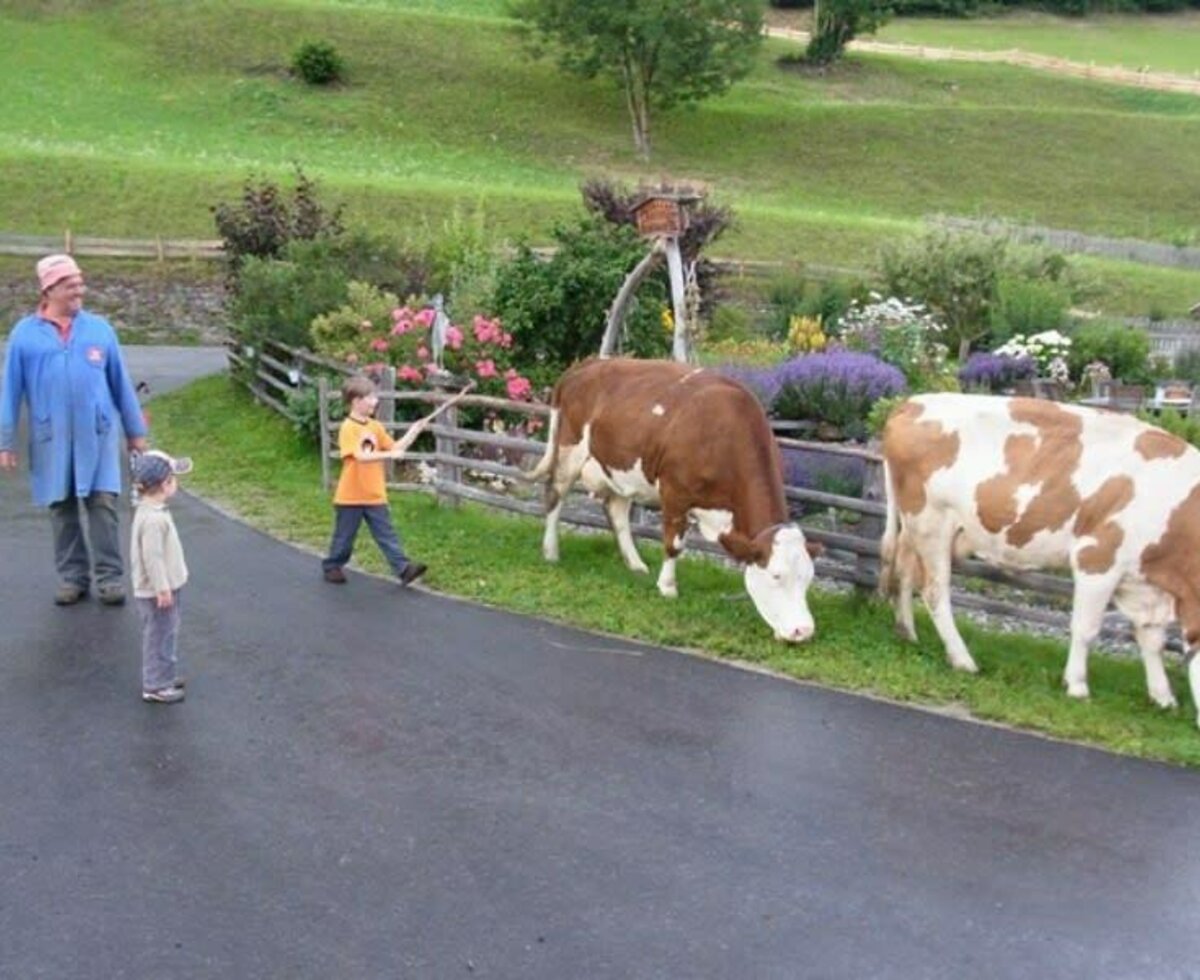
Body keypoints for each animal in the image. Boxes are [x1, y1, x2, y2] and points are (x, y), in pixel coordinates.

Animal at [528, 359, 820, 642]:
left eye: (808, 578)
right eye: (776, 575)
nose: (803, 631)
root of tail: (586, 365)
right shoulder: (674, 493)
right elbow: (674, 545)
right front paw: (667, 587)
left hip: (621, 469)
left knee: (616, 511)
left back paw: (635, 564)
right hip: (570, 449)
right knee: (554, 494)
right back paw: (551, 551)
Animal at [883, 391, 1200, 724]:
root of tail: (913, 402)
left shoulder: (1146, 584)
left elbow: (1152, 640)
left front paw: (1163, 698)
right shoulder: (1096, 558)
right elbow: (1086, 629)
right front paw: (1077, 686)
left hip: (919, 528)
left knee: (904, 570)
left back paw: (907, 632)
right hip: (931, 522)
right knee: (934, 591)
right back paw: (962, 659)